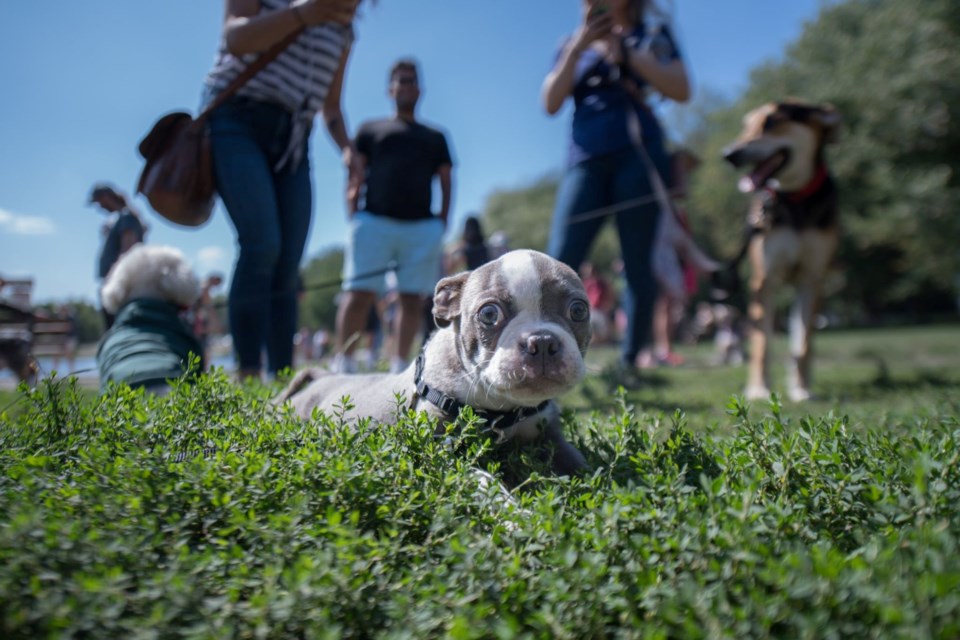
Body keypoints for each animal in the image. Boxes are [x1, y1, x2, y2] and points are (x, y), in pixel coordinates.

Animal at [276, 249, 592, 476]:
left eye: (579, 310)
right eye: (489, 314)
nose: (542, 341)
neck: (500, 410)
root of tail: (322, 376)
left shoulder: (551, 437)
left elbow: (584, 467)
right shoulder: (441, 449)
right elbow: (485, 482)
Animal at [728, 100, 840, 400]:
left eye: (770, 122)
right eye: (745, 126)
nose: (729, 154)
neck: (795, 199)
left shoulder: (812, 278)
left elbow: (803, 344)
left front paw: (801, 390)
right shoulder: (764, 279)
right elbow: (762, 344)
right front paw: (758, 390)